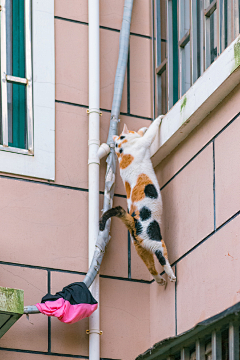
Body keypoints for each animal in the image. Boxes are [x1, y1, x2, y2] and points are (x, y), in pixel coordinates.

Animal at [99, 116, 176, 286]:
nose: (133, 131)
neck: (121, 150)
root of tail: (133, 223)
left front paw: (142, 128)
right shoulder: (143, 143)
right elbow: (151, 133)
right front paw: (158, 118)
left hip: (140, 249)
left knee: (151, 268)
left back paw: (160, 281)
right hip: (154, 240)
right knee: (161, 257)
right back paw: (171, 276)